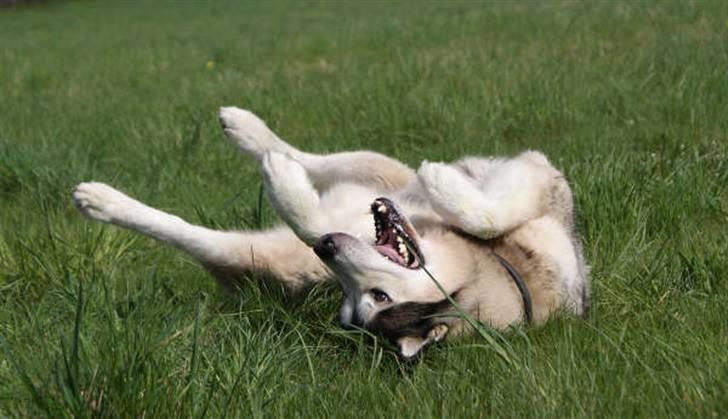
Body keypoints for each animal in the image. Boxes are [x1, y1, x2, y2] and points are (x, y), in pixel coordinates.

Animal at [71, 106, 588, 360]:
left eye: (376, 298)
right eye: (362, 297)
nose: (328, 248)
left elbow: (310, 222)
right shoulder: (542, 176)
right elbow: (488, 210)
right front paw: (445, 183)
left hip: (273, 259)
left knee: (189, 232)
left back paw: (101, 200)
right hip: (376, 167)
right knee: (313, 158)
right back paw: (248, 130)